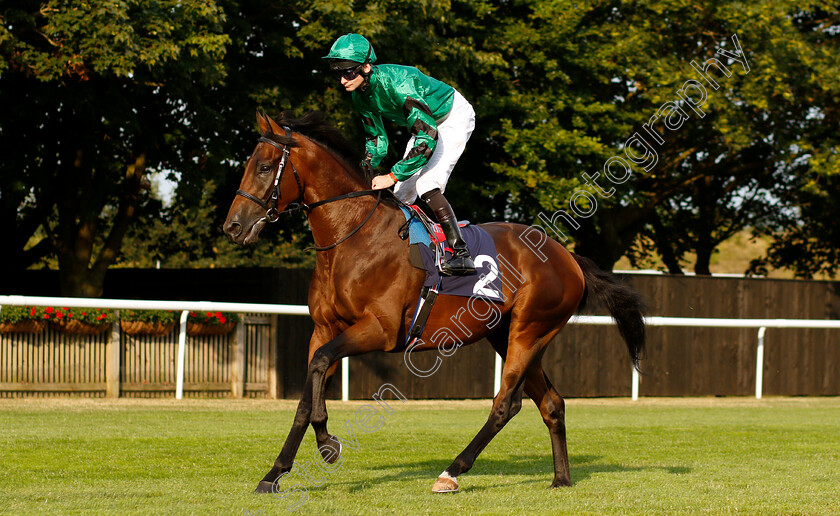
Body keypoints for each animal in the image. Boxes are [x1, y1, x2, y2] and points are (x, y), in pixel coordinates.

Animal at [223, 111, 644, 494]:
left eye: (264, 167)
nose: (233, 227)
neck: (353, 237)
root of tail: (568, 257)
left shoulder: (379, 330)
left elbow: (321, 365)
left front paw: (324, 447)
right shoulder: (325, 328)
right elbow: (308, 390)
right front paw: (279, 470)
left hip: (530, 330)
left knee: (506, 404)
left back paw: (452, 472)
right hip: (509, 334)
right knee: (552, 404)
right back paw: (561, 478)